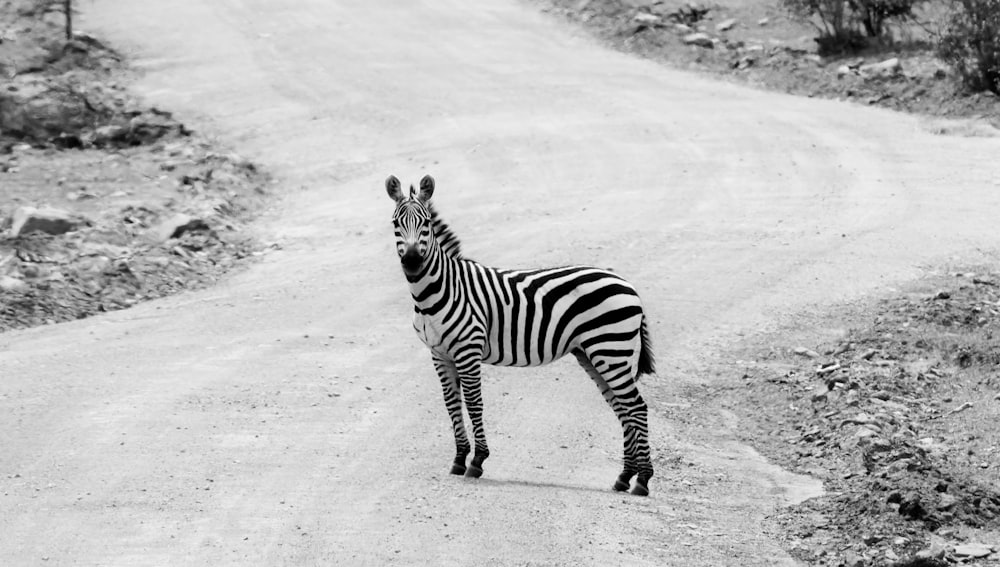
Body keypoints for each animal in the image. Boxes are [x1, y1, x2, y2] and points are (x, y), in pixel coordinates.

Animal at [384, 174, 656, 496]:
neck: (440, 289)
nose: (413, 262)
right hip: (593, 354)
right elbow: (452, 405)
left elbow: (474, 403)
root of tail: (628, 285)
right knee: (623, 409)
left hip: (611, 350)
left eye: (425, 223)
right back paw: (624, 476)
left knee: (637, 407)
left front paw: (477, 460)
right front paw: (460, 458)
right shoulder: (439, 353)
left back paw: (642, 480)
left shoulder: (468, 350)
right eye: (395, 223)